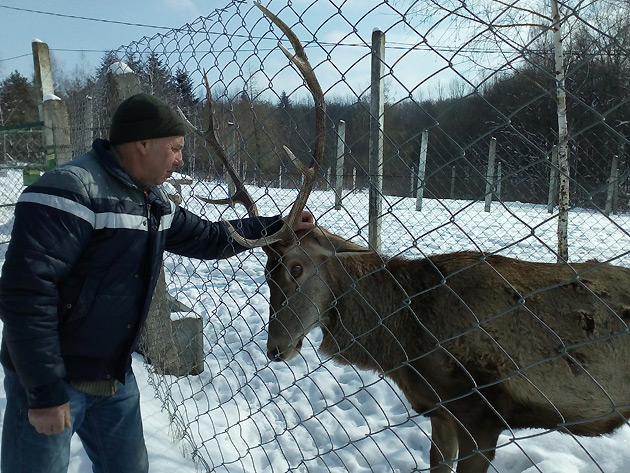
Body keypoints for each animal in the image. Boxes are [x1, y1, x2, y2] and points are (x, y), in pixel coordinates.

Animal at [178, 4, 630, 472]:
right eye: (266, 273)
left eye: (296, 268)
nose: (274, 349)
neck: (409, 347)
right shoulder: (439, 411)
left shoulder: (482, 411)